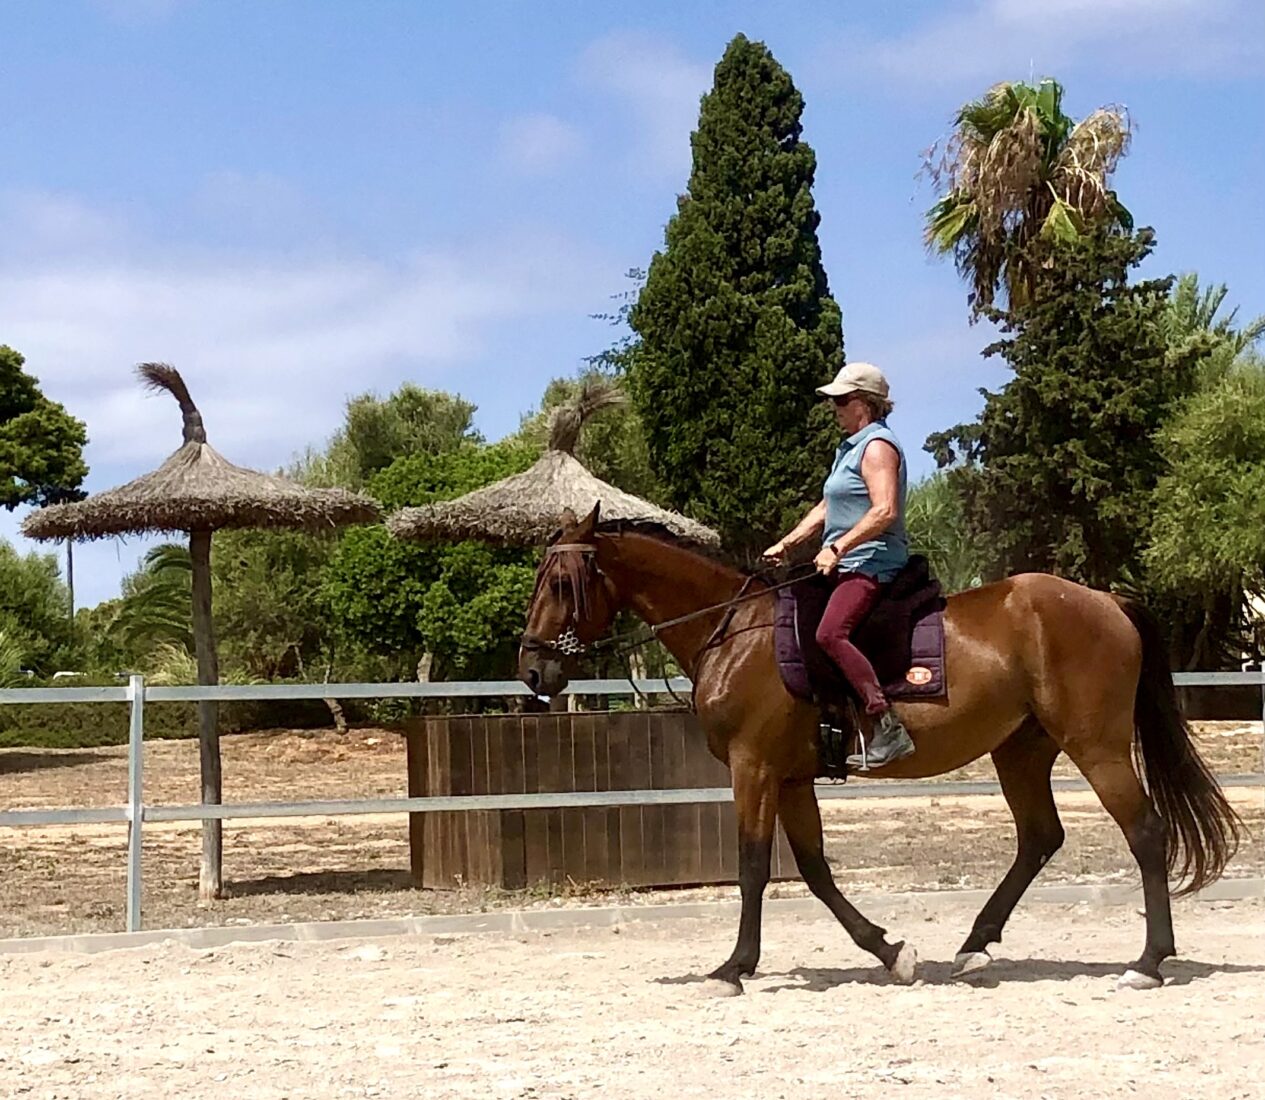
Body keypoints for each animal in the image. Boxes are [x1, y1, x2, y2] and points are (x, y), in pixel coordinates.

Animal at [518, 508, 1239, 1001]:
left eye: (562, 582)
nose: (531, 671)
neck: (736, 633)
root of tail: (1104, 599)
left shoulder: (755, 769)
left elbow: (752, 867)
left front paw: (733, 968)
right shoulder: (791, 779)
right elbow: (813, 871)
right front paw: (890, 952)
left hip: (1094, 744)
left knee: (1144, 832)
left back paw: (1147, 962)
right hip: (1021, 749)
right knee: (1040, 837)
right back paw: (975, 947)